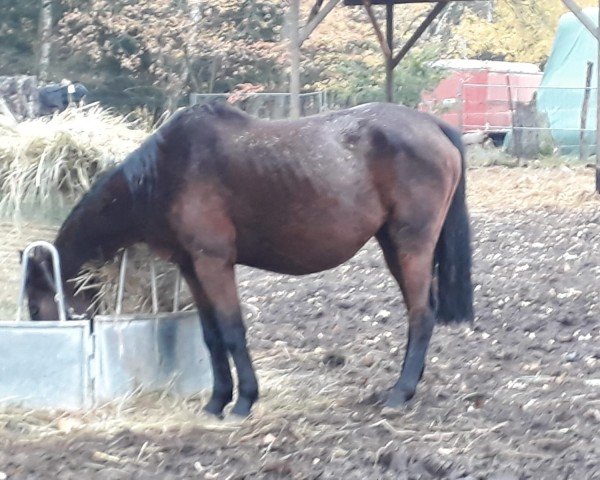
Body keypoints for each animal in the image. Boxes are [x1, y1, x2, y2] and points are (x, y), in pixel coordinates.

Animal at [23, 101, 474, 416]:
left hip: (410, 244)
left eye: (37, 304)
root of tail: (432, 125)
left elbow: (232, 330)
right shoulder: (191, 267)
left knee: (421, 314)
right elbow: (211, 336)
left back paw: (400, 393)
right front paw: (216, 401)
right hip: (394, 246)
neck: (167, 171)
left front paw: (243, 402)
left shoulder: (214, 263)